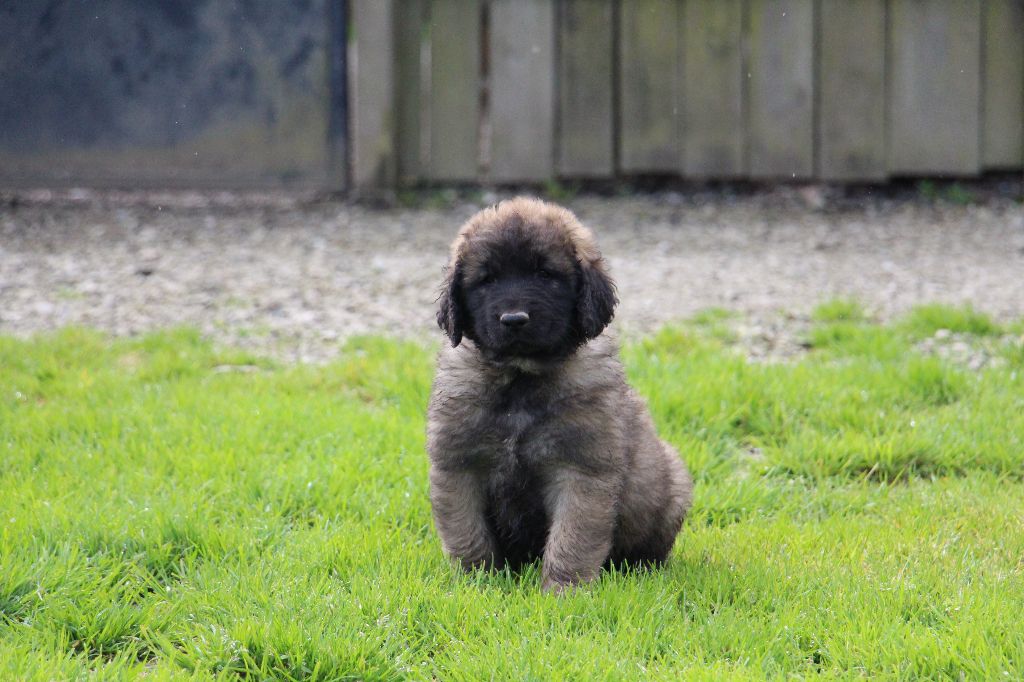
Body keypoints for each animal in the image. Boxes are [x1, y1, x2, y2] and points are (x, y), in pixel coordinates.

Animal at [423, 195, 696, 589]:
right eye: (487, 280)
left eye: (545, 275)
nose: (514, 319)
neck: (520, 380)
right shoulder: (458, 465)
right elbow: (467, 534)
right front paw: (477, 583)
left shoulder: (581, 471)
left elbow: (573, 538)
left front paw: (564, 590)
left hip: (671, 483)